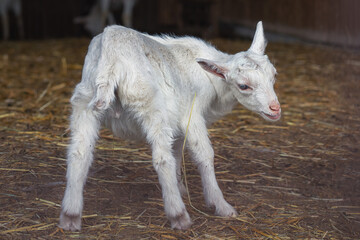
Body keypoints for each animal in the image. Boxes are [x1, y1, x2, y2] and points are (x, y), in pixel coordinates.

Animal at [59, 21, 282, 231]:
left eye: (274, 75)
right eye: (244, 86)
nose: (275, 109)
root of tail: (111, 55)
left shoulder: (178, 123)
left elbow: (177, 151)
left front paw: (180, 186)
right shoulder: (192, 113)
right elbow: (203, 154)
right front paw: (220, 205)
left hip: (84, 100)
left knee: (79, 154)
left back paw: (70, 216)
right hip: (150, 103)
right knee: (162, 159)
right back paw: (179, 215)